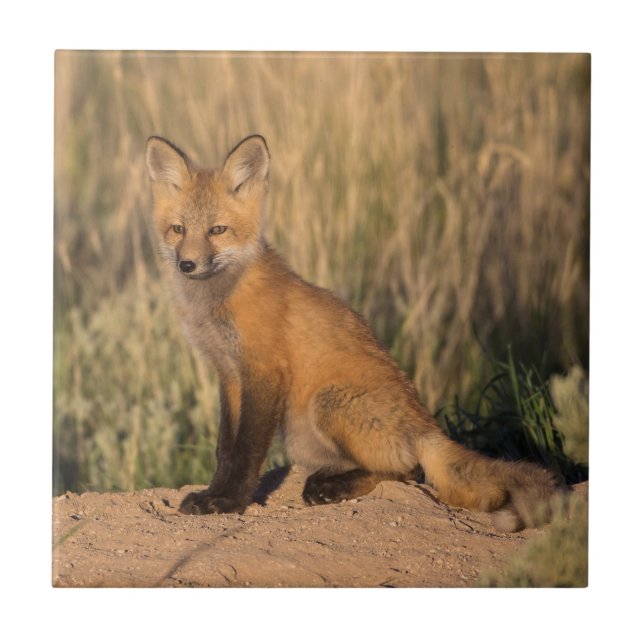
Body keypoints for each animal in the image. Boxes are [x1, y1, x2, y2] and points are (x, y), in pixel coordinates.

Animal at [145, 133, 561, 532]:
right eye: (179, 229)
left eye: (217, 230)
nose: (187, 264)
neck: (218, 302)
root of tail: (428, 427)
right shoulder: (229, 374)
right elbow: (225, 449)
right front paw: (214, 493)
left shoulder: (263, 371)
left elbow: (246, 451)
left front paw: (227, 503)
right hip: (300, 434)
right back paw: (327, 479)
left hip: (328, 403)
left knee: (408, 470)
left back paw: (331, 488)